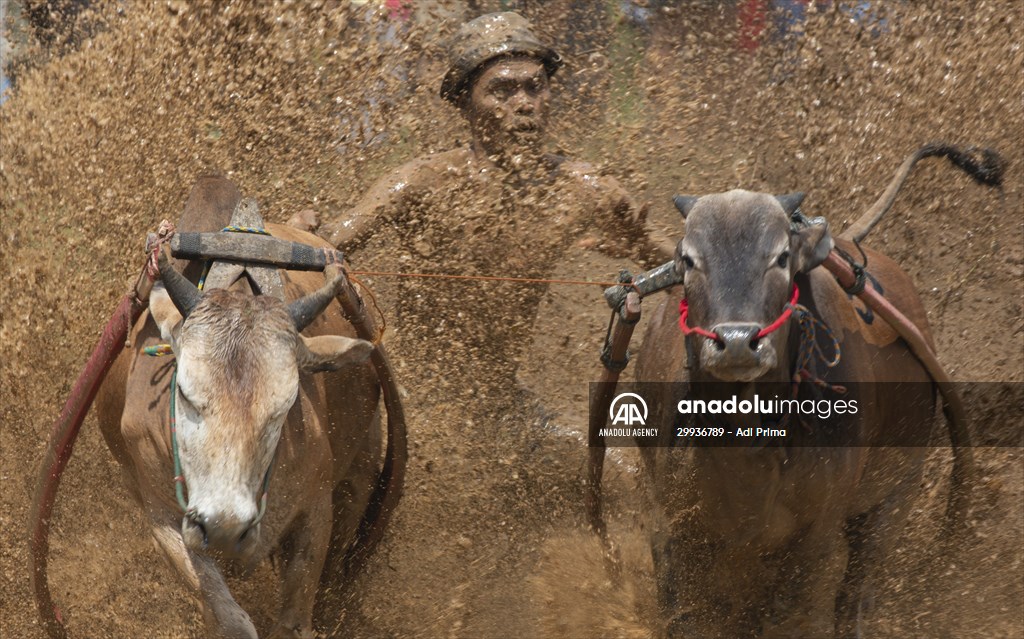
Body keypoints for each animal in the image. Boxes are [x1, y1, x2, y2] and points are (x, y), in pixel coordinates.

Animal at [94, 177, 382, 634]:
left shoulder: (316, 507)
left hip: (362, 468)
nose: (225, 527)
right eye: (185, 393)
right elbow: (229, 620)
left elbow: (294, 621)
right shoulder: (162, 516)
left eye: (283, 407)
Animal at [634, 187, 962, 634]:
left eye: (781, 257)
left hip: (893, 498)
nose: (737, 342)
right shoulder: (670, 524)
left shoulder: (816, 535)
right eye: (688, 259)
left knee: (854, 596)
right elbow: (681, 613)